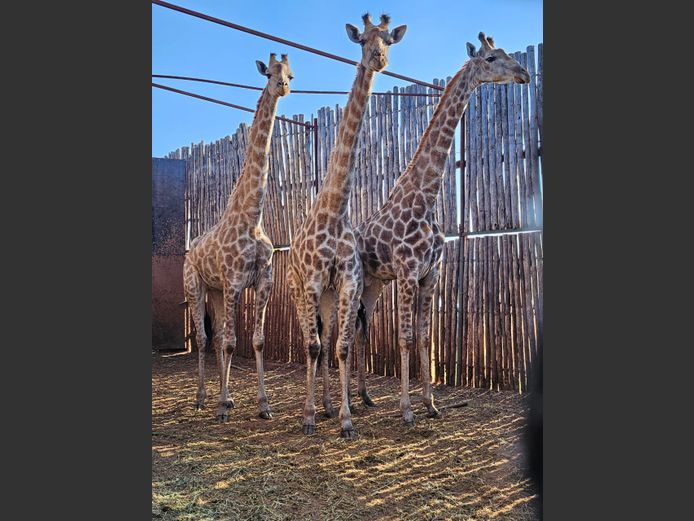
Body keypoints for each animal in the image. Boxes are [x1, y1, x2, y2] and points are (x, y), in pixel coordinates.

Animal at [183, 53, 293, 423]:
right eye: (269, 73)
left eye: (290, 73)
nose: (283, 86)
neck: (252, 217)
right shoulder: (233, 282)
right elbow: (233, 342)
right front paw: (220, 407)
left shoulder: (263, 282)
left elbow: (256, 340)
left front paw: (263, 405)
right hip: (196, 287)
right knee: (204, 338)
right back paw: (204, 398)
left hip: (216, 292)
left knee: (217, 336)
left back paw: (226, 397)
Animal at [287, 13, 407, 438]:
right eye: (363, 40)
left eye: (389, 39)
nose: (380, 59)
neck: (334, 210)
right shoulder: (311, 282)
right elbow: (312, 347)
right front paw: (308, 417)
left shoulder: (348, 283)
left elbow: (339, 346)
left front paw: (345, 418)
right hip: (300, 291)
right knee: (311, 340)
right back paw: (314, 408)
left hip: (329, 295)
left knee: (328, 338)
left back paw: (327, 405)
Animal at [354, 33, 530, 426]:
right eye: (492, 58)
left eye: (508, 54)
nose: (524, 73)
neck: (425, 198)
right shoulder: (406, 273)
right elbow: (404, 338)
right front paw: (406, 410)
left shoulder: (429, 275)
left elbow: (423, 338)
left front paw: (430, 405)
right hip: (353, 282)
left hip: (373, 285)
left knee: (360, 329)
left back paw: (365, 397)